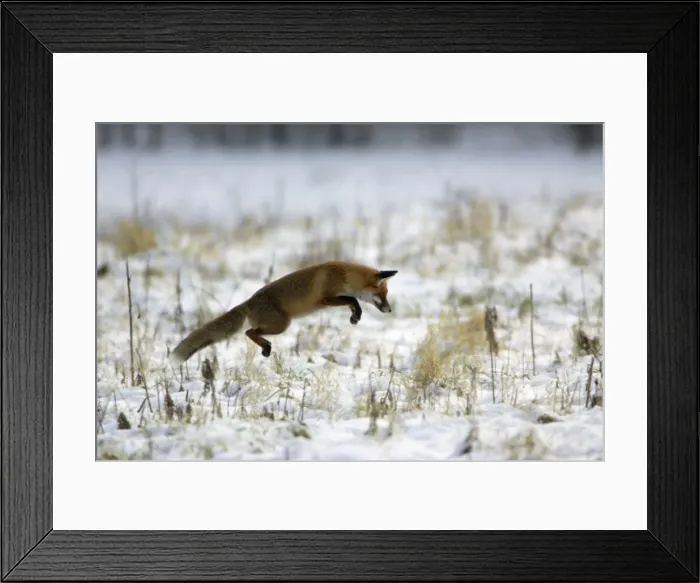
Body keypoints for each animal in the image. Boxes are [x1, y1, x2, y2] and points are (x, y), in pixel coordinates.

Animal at [170, 260, 398, 365]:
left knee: (250, 332)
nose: (389, 310)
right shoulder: (325, 299)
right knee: (249, 332)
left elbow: (352, 302)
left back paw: (265, 348)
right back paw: (266, 347)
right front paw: (356, 313)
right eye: (383, 294)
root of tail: (249, 301)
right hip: (282, 325)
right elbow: (352, 299)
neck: (343, 275)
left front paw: (354, 316)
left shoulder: (334, 298)